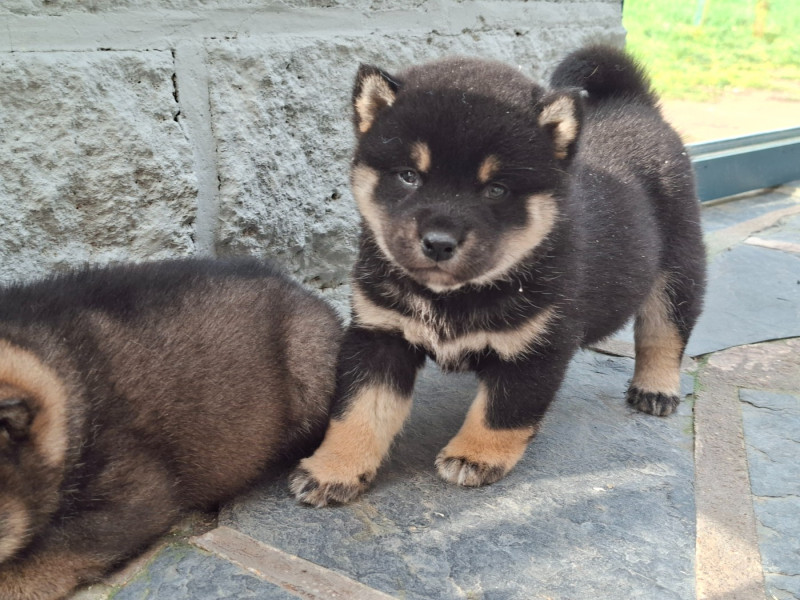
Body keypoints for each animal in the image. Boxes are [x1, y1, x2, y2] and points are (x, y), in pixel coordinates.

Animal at [290, 45, 706, 507]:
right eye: (409, 176)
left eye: (496, 189)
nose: (438, 243)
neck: (453, 295)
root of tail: (634, 104)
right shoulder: (380, 335)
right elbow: (359, 412)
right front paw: (334, 469)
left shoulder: (537, 349)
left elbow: (502, 411)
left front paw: (475, 455)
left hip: (679, 268)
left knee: (664, 332)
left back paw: (656, 388)